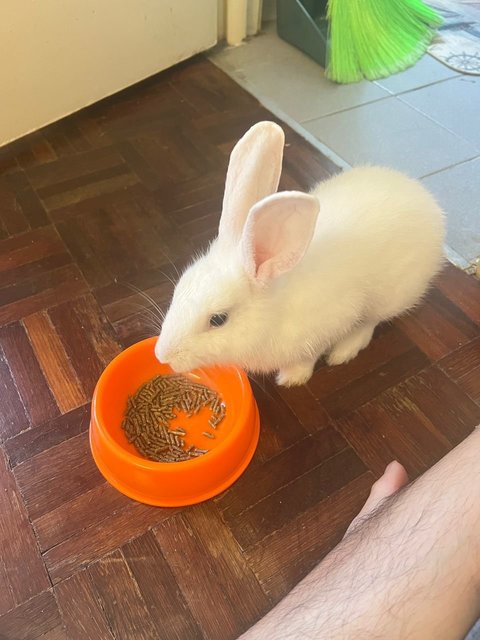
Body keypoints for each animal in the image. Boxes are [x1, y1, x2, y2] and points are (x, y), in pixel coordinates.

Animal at [156, 123, 444, 388]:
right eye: (178, 289)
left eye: (218, 320)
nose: (162, 355)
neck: (274, 310)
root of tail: (429, 204)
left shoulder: (328, 326)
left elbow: (308, 357)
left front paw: (292, 378)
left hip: (388, 296)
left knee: (369, 323)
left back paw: (343, 352)